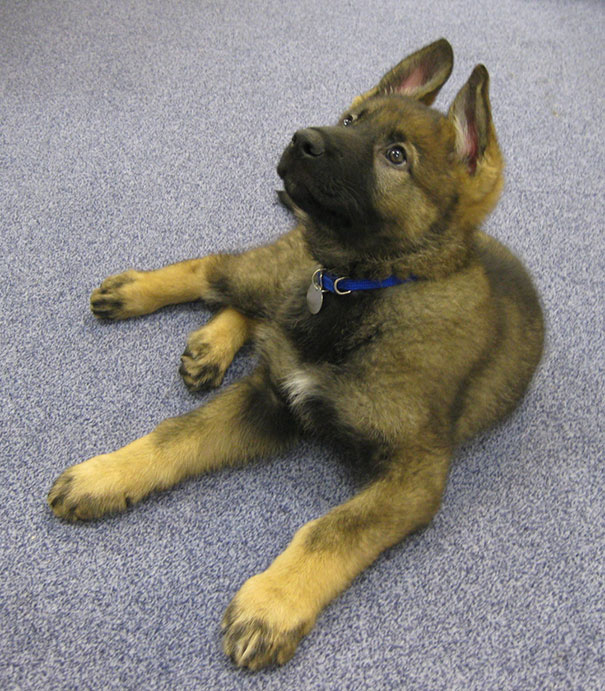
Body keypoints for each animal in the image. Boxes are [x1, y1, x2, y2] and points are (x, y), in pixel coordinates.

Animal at [47, 39, 544, 672]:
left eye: (397, 156)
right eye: (352, 120)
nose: (302, 137)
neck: (355, 290)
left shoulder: (414, 474)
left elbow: (332, 529)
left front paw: (272, 604)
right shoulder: (272, 394)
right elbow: (175, 436)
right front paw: (104, 475)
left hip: (283, 288)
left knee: (251, 306)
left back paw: (209, 346)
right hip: (276, 270)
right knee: (217, 272)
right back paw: (138, 293)